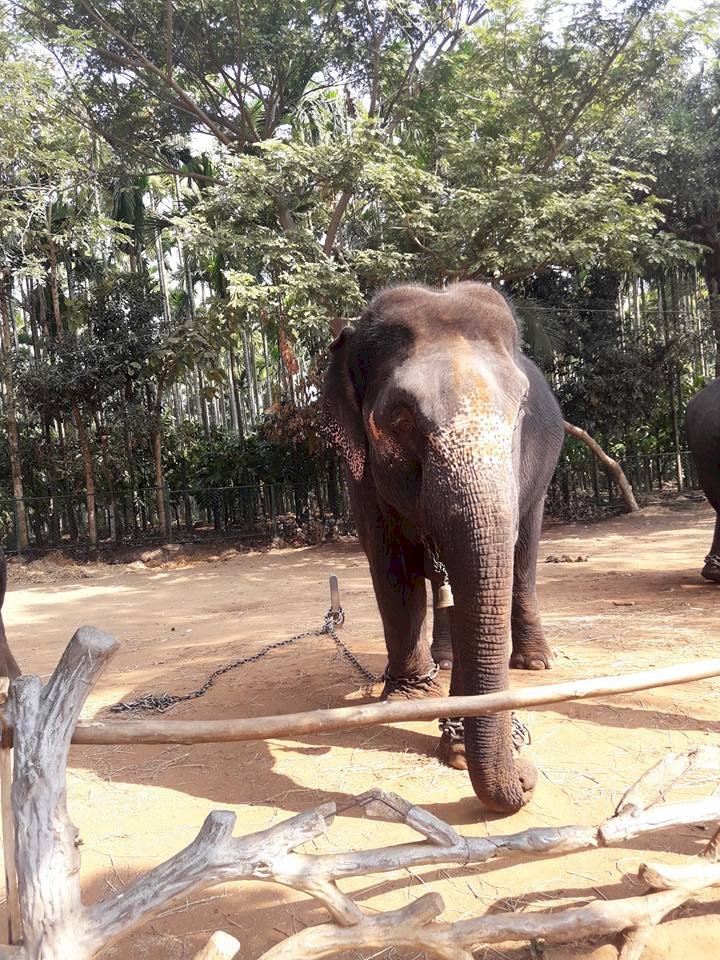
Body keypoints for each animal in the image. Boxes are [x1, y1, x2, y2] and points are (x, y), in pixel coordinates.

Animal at [322, 281, 564, 813]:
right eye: (399, 417)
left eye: (520, 411)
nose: (528, 776)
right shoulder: (359, 471)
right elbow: (391, 566)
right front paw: (406, 701)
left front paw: (456, 745)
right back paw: (444, 662)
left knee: (523, 557)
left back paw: (535, 662)